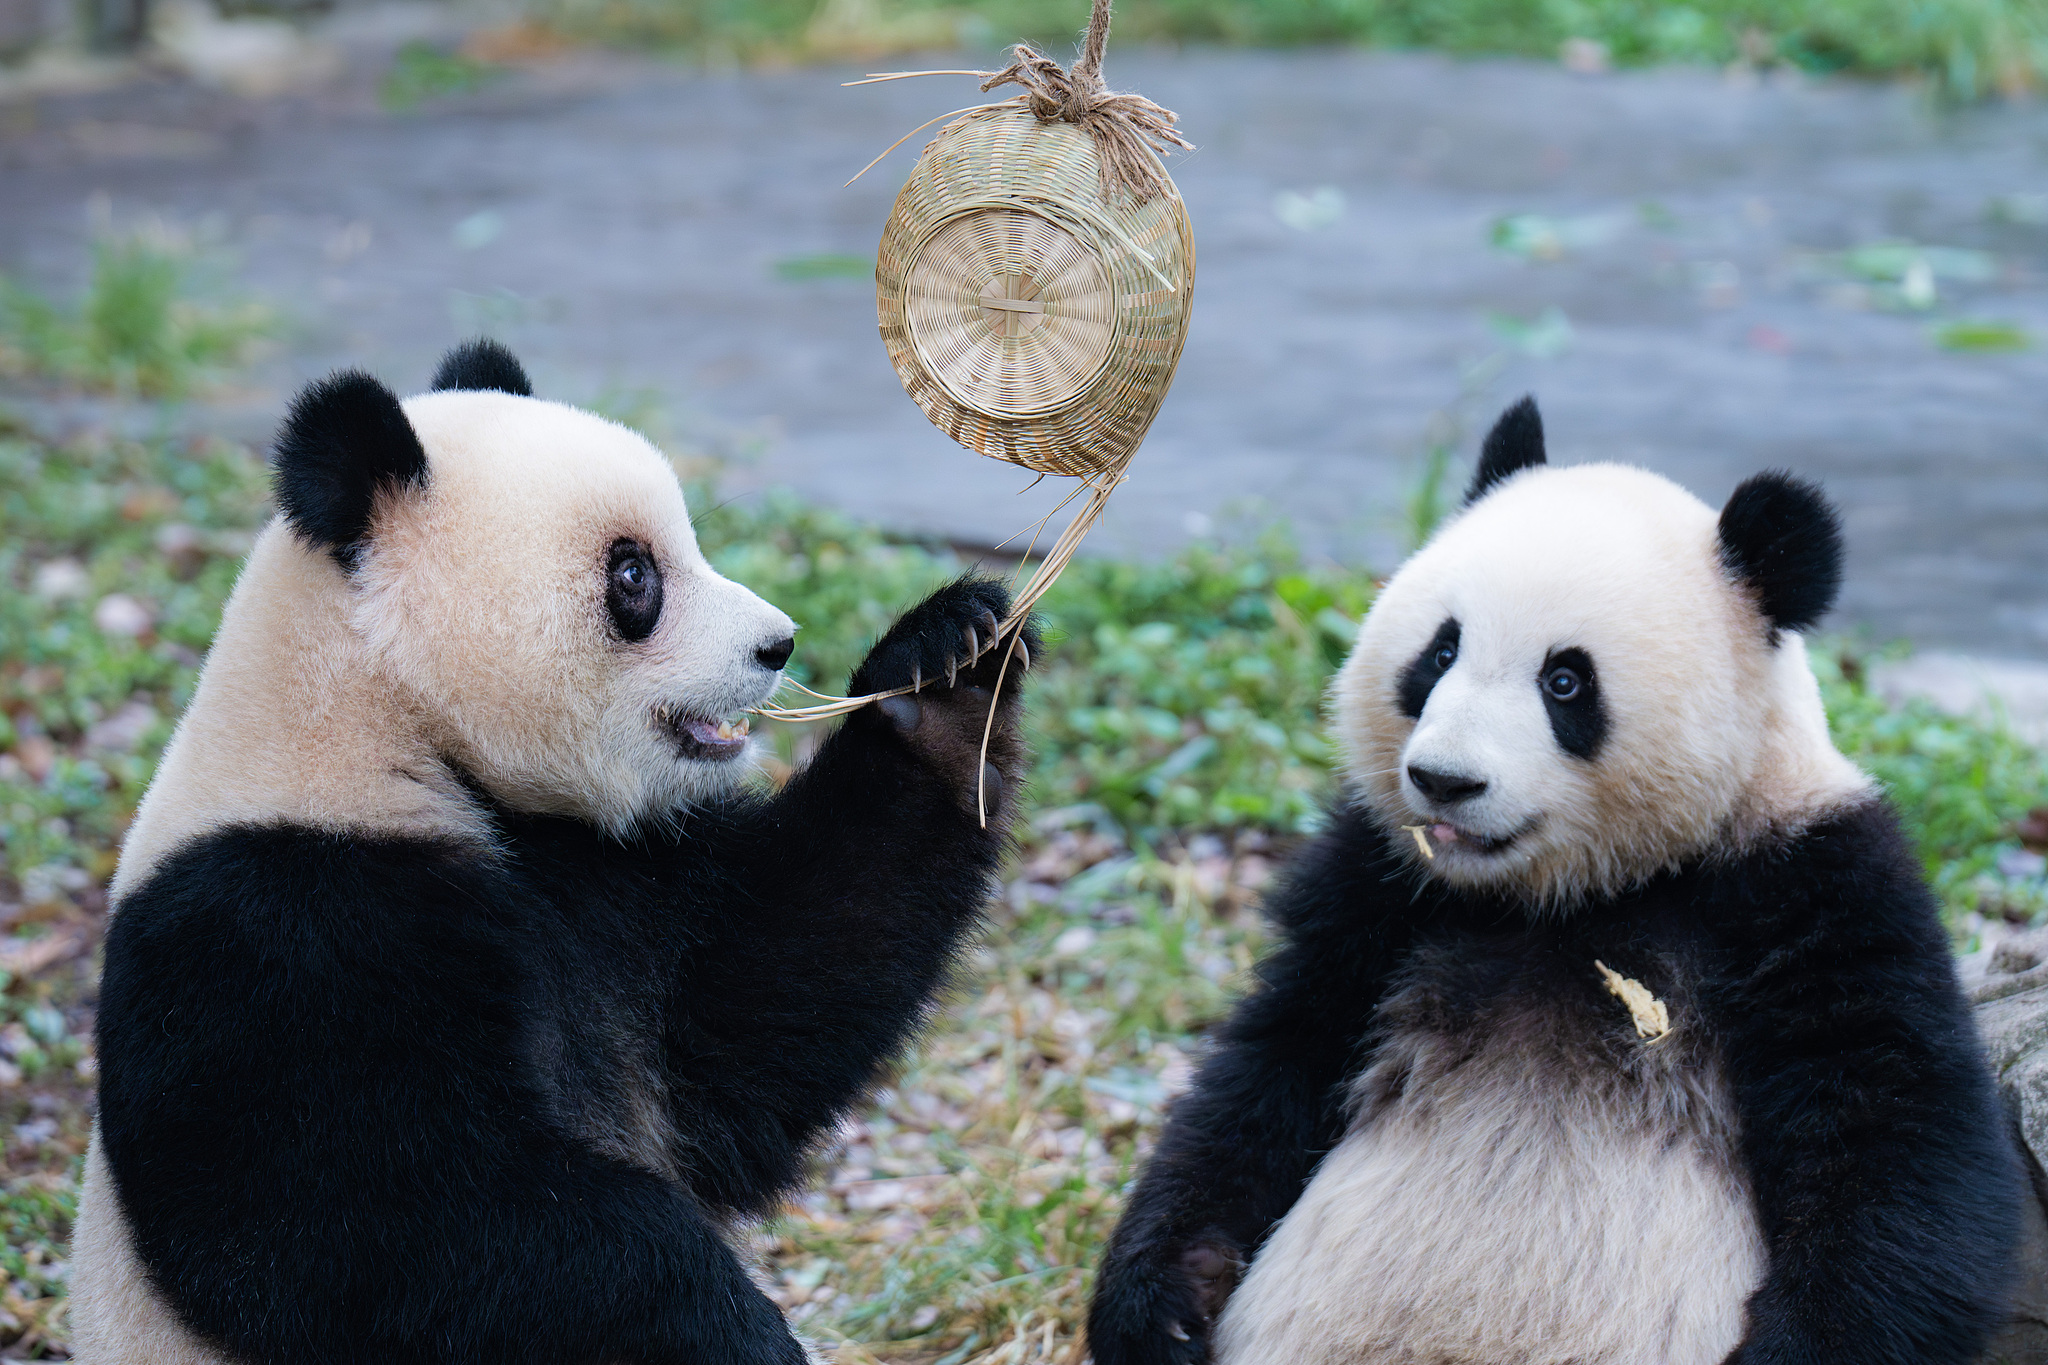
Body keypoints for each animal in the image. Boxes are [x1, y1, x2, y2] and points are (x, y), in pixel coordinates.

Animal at [70, 341, 1032, 1365]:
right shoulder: (273, 924)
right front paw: (725, 1324)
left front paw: (946, 675)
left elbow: (755, 1022)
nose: (777, 644)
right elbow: (353, 1225)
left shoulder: (613, 874)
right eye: (635, 575)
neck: (392, 728)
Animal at [1089, 397, 2015, 1365]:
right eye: (1441, 651)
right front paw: (1164, 1305)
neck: (1565, 894)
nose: (1445, 780)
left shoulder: (1809, 879)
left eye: (1565, 680)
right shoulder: (1380, 885)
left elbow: (1892, 1134)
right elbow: (1273, 1065)